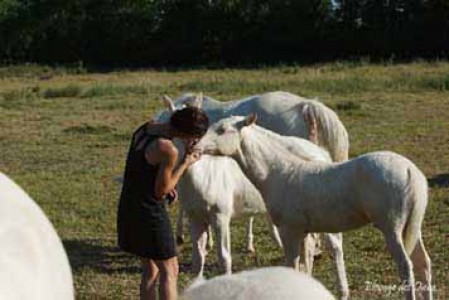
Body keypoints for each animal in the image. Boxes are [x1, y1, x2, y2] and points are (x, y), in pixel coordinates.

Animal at [195, 115, 430, 300]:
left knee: (406, 266)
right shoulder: (305, 232)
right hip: (412, 227)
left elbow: (293, 266)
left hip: (392, 229)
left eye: (222, 130)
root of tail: (411, 171)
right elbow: (305, 267)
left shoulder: (290, 231)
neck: (278, 172)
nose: (196, 147)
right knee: (423, 263)